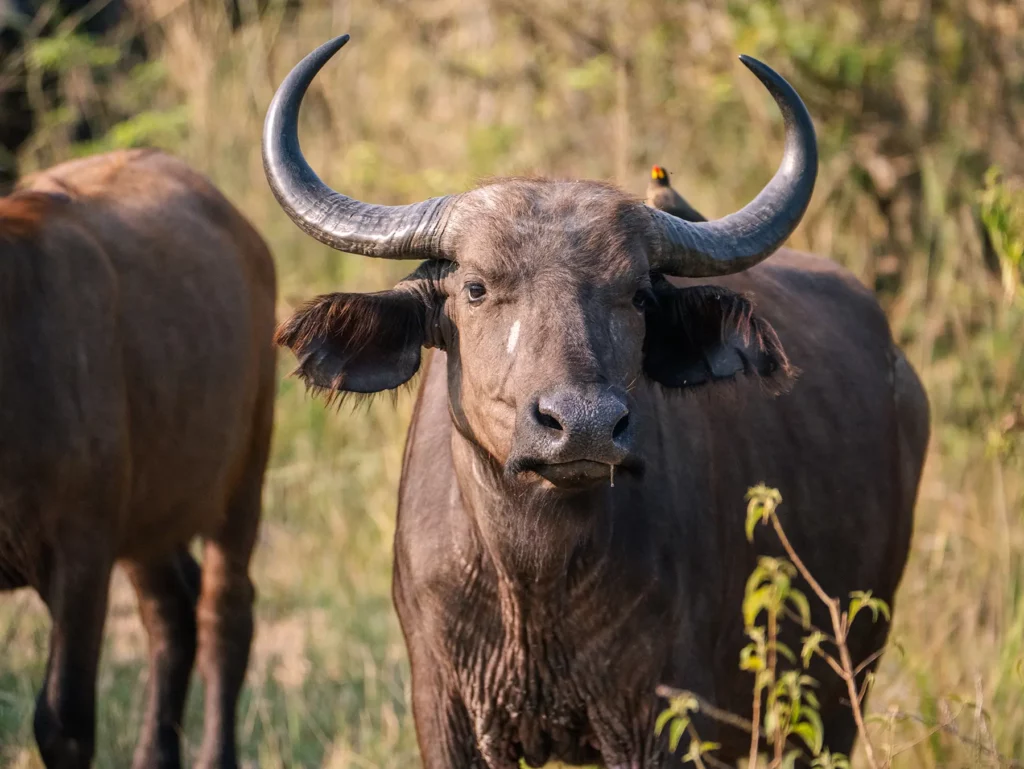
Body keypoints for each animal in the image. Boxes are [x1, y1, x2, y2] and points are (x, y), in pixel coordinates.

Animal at [0, 148, 276, 769]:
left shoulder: (82, 547)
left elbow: (64, 723)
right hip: (148, 516)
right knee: (173, 610)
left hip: (243, 475)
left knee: (223, 615)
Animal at [264, 35, 929, 768]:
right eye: (475, 287)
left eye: (637, 294)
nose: (582, 426)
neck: (532, 576)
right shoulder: (445, 710)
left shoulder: (662, 718)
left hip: (839, 689)